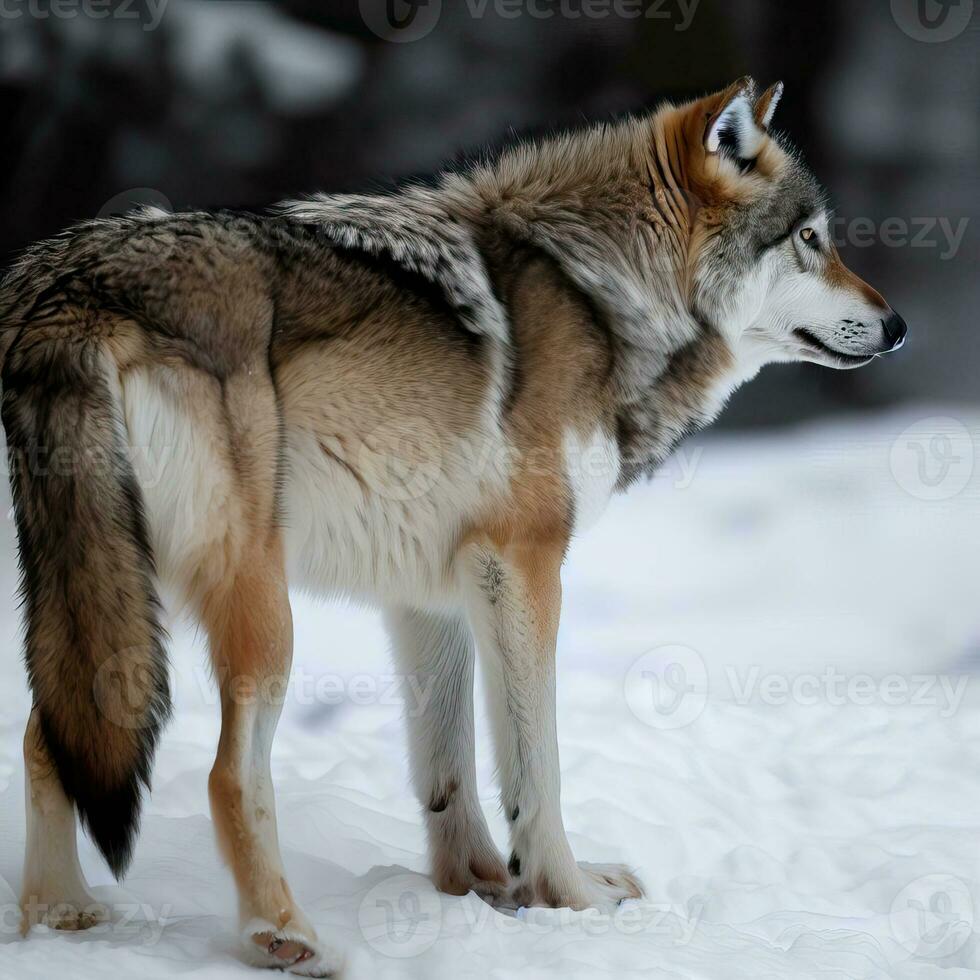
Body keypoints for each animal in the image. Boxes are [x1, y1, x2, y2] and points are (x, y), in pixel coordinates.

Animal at [0, 78, 904, 972]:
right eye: (811, 239)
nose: (897, 327)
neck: (603, 292)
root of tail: (65, 282)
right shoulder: (523, 561)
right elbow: (537, 769)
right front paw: (569, 898)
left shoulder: (432, 592)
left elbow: (449, 770)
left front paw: (473, 887)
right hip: (257, 609)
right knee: (228, 775)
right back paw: (284, 936)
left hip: (102, 582)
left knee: (50, 736)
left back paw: (62, 921)